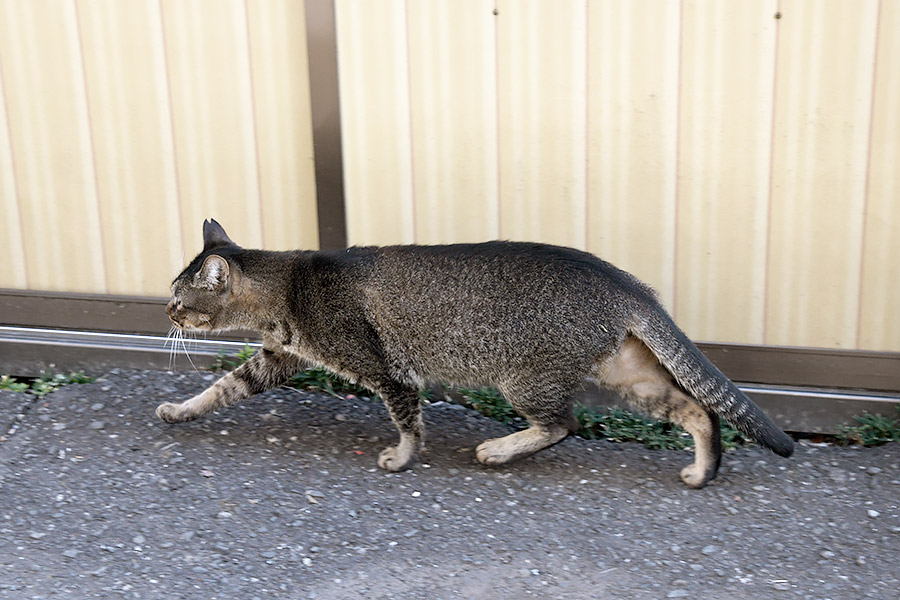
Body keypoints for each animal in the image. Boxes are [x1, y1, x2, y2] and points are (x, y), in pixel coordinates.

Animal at [158, 219, 792, 488]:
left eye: (178, 296)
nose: (164, 312)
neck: (290, 286)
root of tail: (627, 286)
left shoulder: (386, 370)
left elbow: (408, 421)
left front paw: (401, 459)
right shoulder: (276, 358)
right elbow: (224, 387)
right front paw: (180, 411)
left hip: (525, 375)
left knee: (563, 423)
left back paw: (499, 449)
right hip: (627, 371)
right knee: (699, 409)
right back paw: (701, 472)